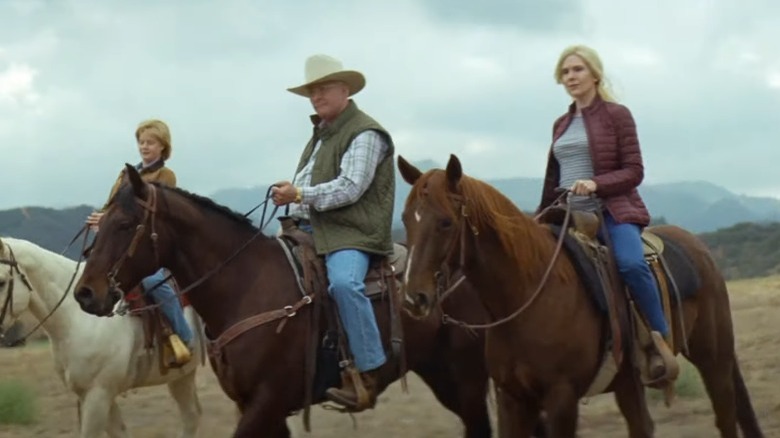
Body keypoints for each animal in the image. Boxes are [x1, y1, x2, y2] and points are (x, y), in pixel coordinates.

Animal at [0, 238, 204, 436]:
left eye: (2, 282)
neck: (76, 316)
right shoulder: (92, 395)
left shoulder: (98, 394)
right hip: (182, 375)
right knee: (191, 417)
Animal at [70, 165, 490, 438]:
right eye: (100, 222)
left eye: (125, 225)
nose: (85, 293)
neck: (245, 288)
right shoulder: (255, 405)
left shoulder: (266, 402)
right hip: (439, 372)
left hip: (467, 378)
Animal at [396, 154, 760, 438]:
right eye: (405, 219)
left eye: (445, 222)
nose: (414, 298)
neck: (527, 299)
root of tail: (699, 247)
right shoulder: (512, 399)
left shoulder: (561, 398)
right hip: (629, 381)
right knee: (643, 426)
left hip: (713, 358)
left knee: (726, 417)